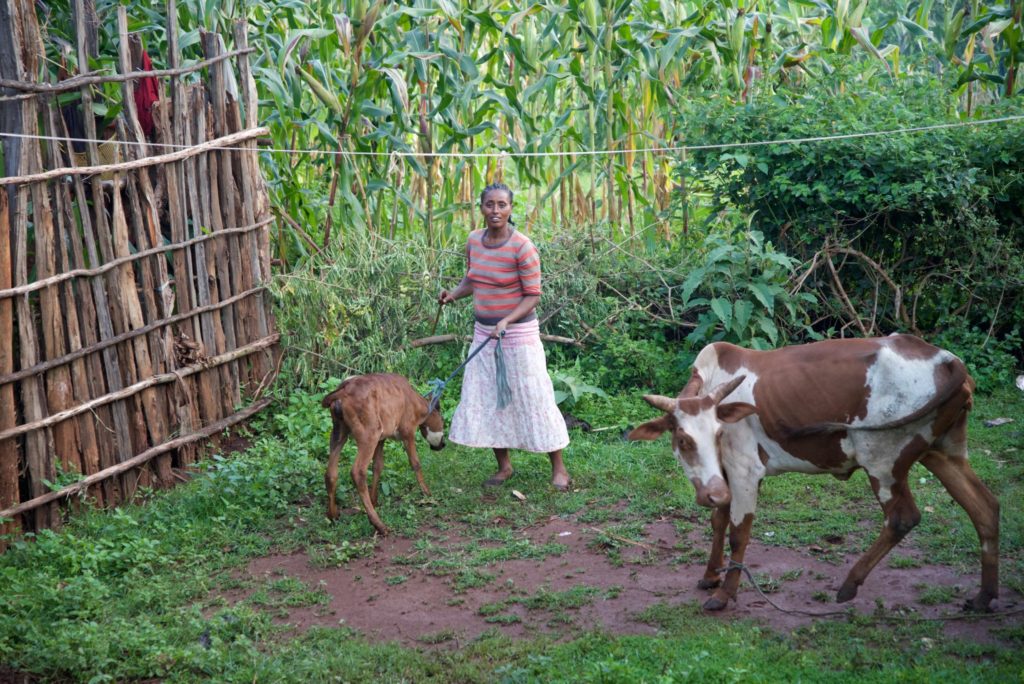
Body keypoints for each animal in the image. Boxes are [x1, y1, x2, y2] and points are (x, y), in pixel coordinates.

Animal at [626, 333, 995, 610]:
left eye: (718, 434)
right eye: (683, 440)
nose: (710, 494)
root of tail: (947, 360)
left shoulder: (744, 470)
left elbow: (737, 532)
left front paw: (724, 594)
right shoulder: (723, 476)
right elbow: (718, 520)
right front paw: (710, 576)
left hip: (883, 462)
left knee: (903, 517)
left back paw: (849, 584)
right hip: (944, 453)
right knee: (985, 509)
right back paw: (984, 597)